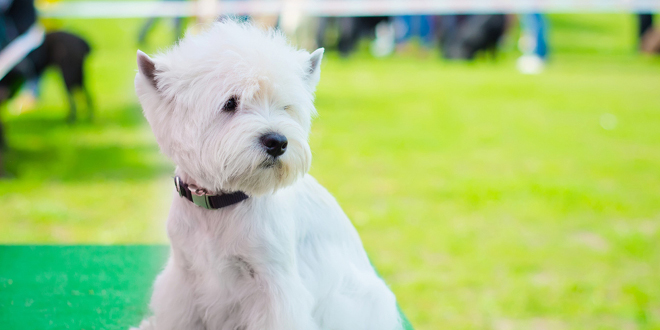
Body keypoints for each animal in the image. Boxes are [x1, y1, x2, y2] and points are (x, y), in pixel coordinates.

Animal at [133, 21, 402, 330]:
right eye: (230, 103)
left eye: (285, 106)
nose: (277, 142)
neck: (220, 204)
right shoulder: (184, 275)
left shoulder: (275, 287)